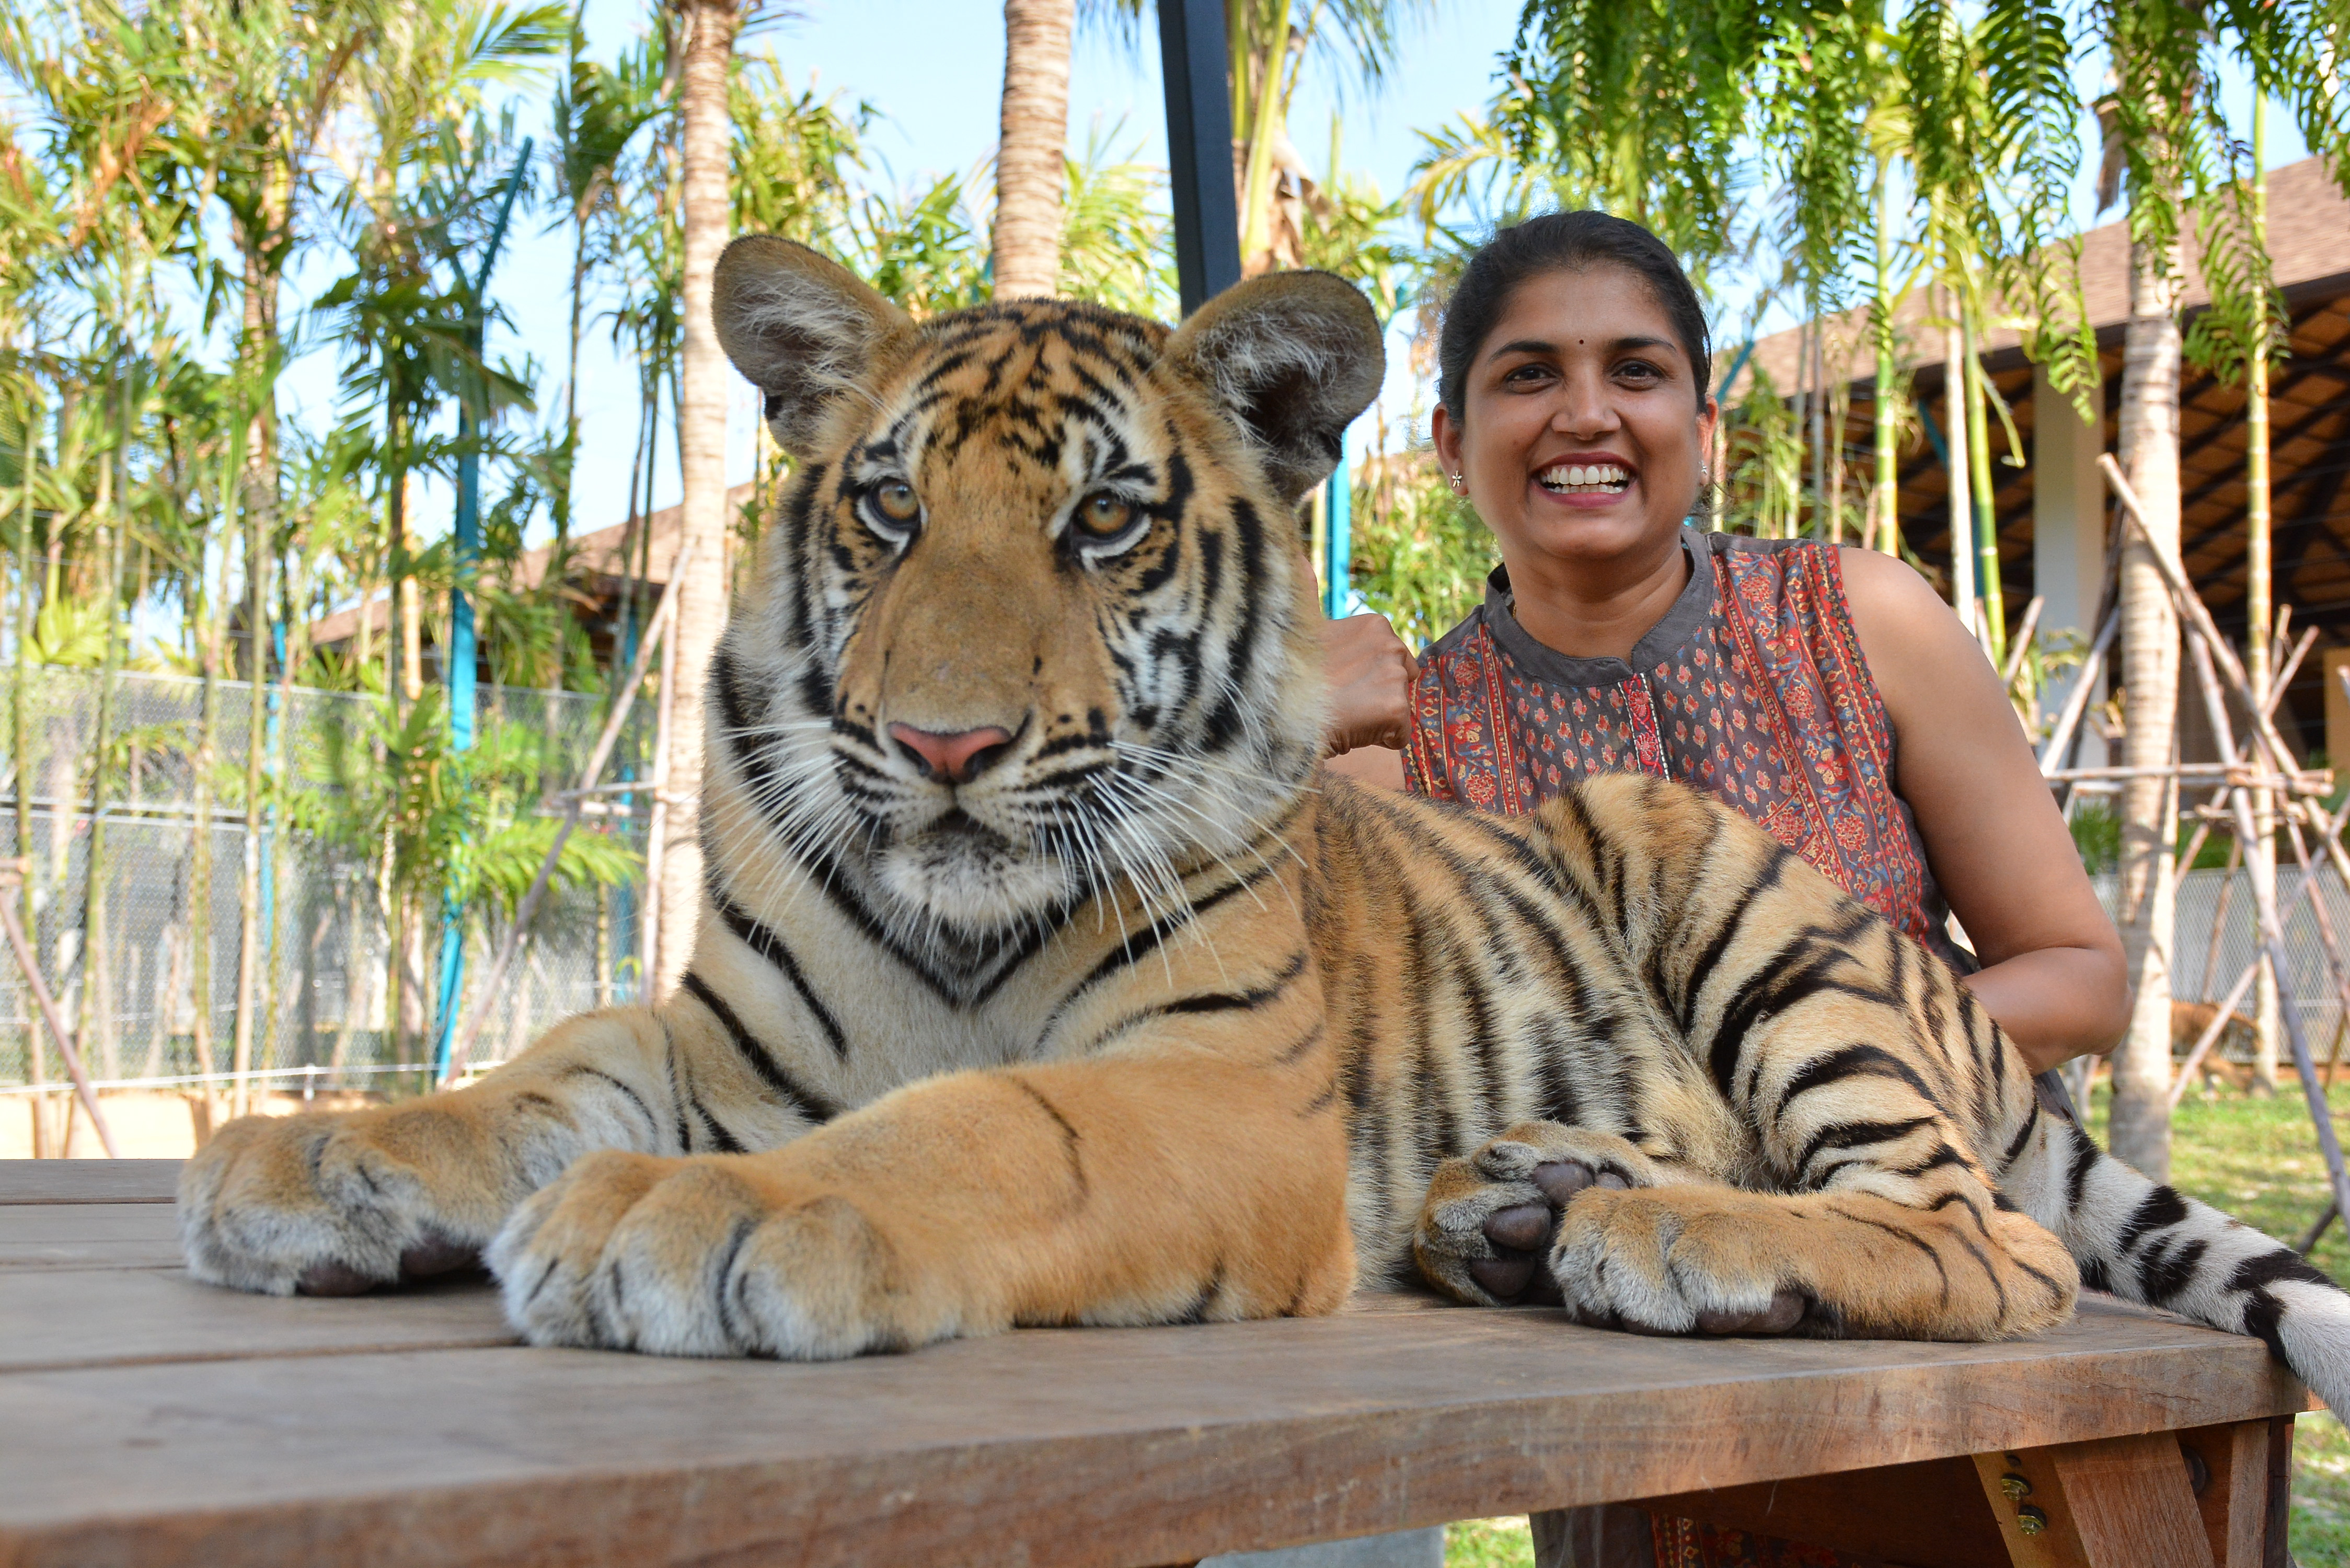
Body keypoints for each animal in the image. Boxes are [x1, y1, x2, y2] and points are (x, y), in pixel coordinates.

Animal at [177, 237, 2350, 1415]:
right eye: (884, 507)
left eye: (1101, 521)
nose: (942, 742)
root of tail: (1964, 1019)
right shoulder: (726, 1039)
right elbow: (548, 1068)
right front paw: (321, 1156)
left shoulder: (1213, 1094)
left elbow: (983, 1120)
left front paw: (704, 1219)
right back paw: (1519, 1207)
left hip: (1704, 863)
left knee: (1981, 1239)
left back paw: (1653, 1229)